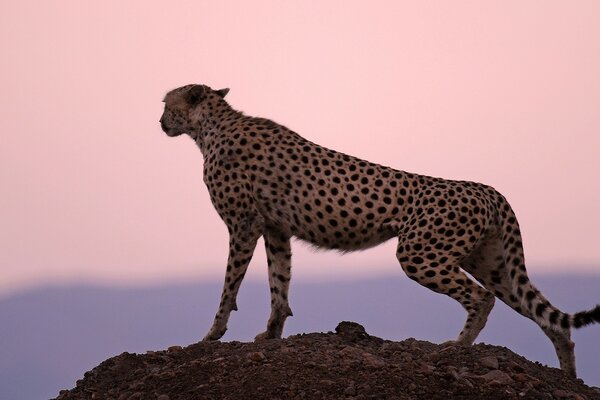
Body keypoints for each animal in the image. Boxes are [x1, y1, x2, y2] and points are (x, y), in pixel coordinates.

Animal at [159, 83, 600, 376]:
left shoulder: (244, 226)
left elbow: (229, 286)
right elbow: (279, 285)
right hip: (490, 262)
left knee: (481, 298)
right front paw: (271, 334)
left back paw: (456, 347)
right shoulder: (277, 230)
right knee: (548, 318)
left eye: (166, 103)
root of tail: (487, 188)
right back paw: (568, 375)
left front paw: (212, 334)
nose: (160, 121)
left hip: (419, 253)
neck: (210, 126)